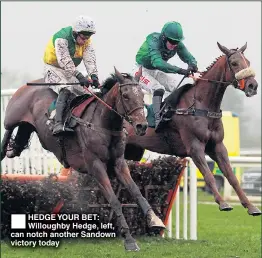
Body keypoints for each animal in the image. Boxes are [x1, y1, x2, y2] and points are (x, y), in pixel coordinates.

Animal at [1, 67, 166, 251]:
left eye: (142, 95)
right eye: (125, 96)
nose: (142, 126)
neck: (103, 123)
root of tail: (26, 86)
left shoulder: (119, 163)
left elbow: (137, 192)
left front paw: (155, 220)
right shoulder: (96, 166)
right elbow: (114, 201)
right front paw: (129, 240)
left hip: (26, 128)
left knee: (17, 142)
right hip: (11, 119)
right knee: (6, 136)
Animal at [124, 41, 260, 216]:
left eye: (248, 62)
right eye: (234, 63)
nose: (253, 86)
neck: (201, 106)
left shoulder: (217, 146)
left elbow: (232, 177)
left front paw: (250, 206)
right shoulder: (195, 147)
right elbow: (209, 176)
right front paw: (223, 203)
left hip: (132, 151)